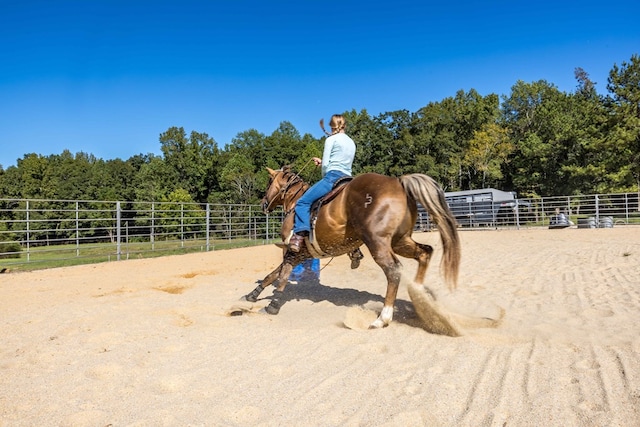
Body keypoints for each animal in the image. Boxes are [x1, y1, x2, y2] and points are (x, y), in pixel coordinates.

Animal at [244, 166, 460, 330]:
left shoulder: (292, 250)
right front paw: (252, 295)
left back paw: (383, 317)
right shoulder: (303, 254)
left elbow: (282, 274)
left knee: (393, 270)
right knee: (425, 252)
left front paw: (272, 305)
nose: (263, 204)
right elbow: (274, 274)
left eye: (269, 182)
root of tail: (398, 182)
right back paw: (420, 297)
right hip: (400, 241)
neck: (295, 203)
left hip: (377, 242)